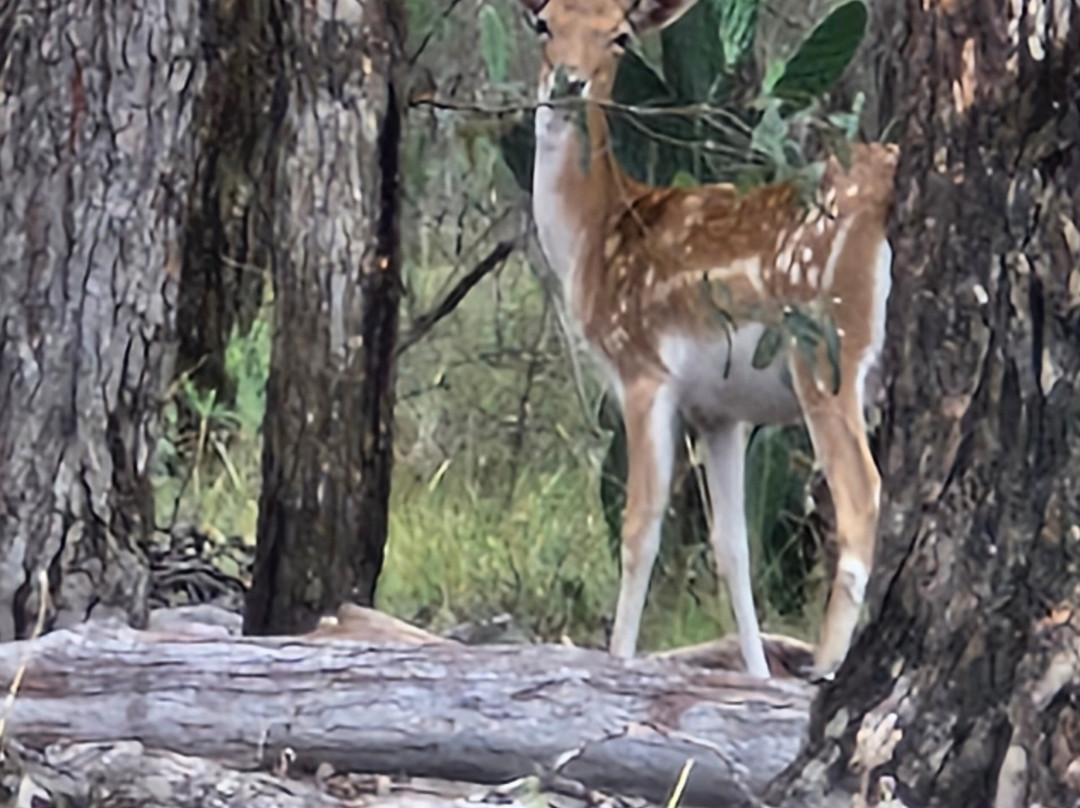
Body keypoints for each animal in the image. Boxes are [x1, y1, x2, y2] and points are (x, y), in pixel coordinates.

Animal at [518, 0, 898, 678]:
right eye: (544, 24)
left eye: (619, 36)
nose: (568, 82)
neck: (592, 239)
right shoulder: (720, 412)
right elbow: (732, 546)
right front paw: (755, 672)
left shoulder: (643, 369)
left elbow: (640, 528)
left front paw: (617, 659)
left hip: (826, 344)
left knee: (861, 496)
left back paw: (826, 664)